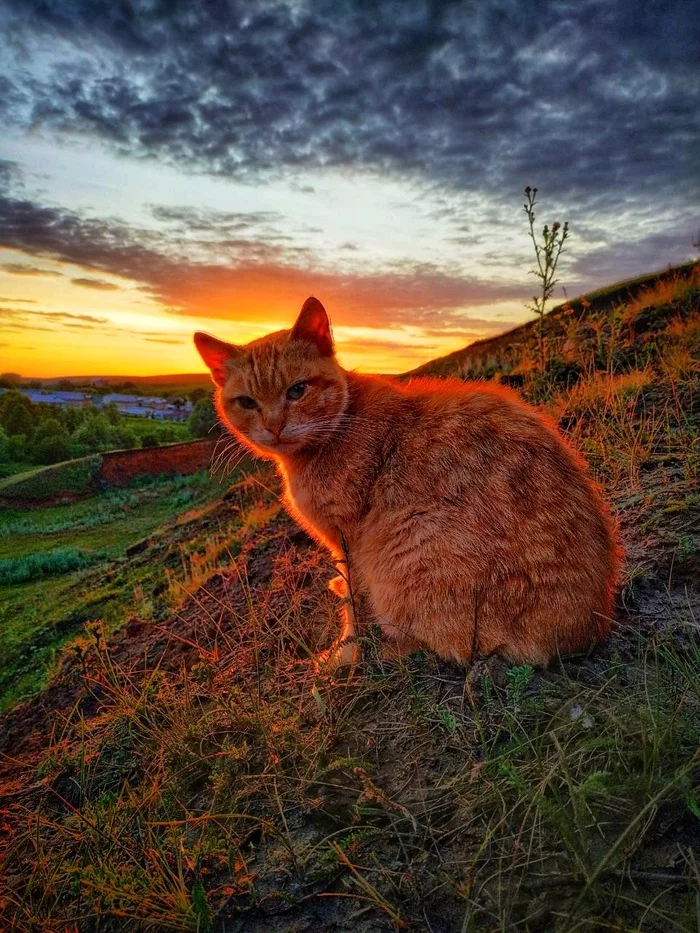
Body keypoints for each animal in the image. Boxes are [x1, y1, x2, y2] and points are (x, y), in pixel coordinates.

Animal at [194, 298, 620, 668]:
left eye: (297, 390)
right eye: (247, 402)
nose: (273, 426)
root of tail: (590, 629)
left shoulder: (349, 538)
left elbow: (354, 607)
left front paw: (343, 657)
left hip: (408, 544)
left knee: (447, 647)